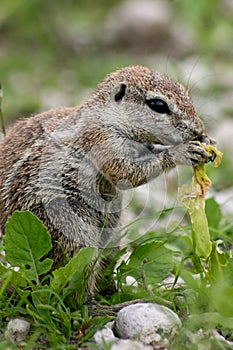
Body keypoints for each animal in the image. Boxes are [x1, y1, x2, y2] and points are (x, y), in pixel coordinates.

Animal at [0, 65, 214, 278]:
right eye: (158, 105)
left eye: (184, 90)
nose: (198, 129)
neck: (108, 116)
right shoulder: (102, 141)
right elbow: (126, 173)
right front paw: (183, 151)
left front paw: (207, 140)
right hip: (66, 224)